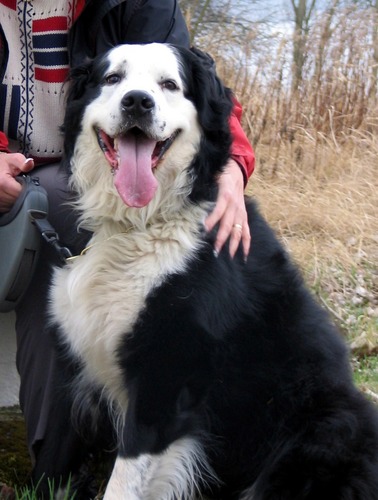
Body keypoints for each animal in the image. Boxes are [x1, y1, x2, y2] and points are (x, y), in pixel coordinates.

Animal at [45, 45, 378, 498]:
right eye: (113, 78)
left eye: (169, 84)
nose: (138, 102)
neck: (140, 222)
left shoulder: (165, 383)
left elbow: (126, 478)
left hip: (327, 429)